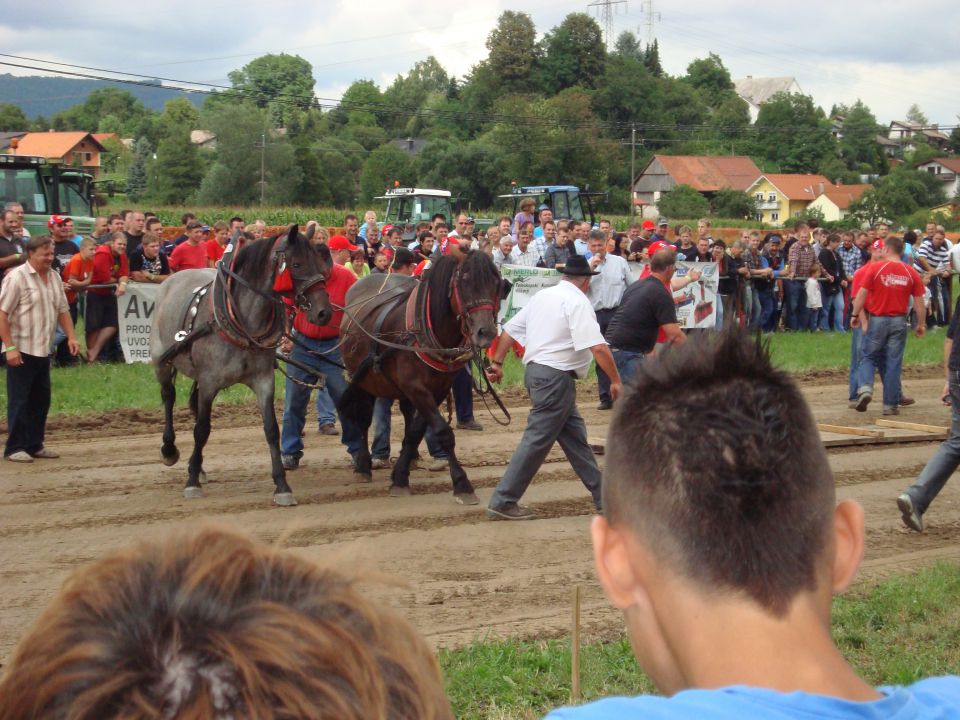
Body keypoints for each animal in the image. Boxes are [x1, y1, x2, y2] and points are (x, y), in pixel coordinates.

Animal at [148, 225, 332, 506]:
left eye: (320, 264)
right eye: (297, 264)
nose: (324, 312)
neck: (244, 322)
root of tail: (171, 279)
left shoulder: (263, 380)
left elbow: (271, 429)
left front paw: (282, 485)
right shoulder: (210, 381)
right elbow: (202, 429)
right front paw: (191, 481)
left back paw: (199, 467)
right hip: (161, 361)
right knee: (168, 397)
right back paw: (170, 450)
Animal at [340, 250, 502, 504]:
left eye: (496, 283)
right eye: (465, 281)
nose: (486, 333)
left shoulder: (438, 389)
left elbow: (415, 432)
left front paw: (400, 476)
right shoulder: (416, 387)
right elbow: (444, 433)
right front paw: (462, 484)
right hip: (362, 379)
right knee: (364, 419)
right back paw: (363, 466)